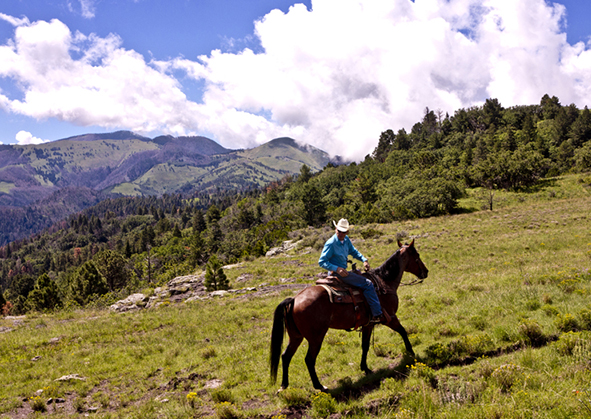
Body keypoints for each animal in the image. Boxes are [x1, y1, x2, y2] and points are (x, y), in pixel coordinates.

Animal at [270, 240, 428, 394]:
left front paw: (365, 368)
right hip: (316, 338)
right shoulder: (390, 318)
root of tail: (294, 299)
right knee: (309, 359)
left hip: (296, 336)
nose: (425, 272)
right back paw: (320, 386)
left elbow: (365, 346)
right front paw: (411, 353)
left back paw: (284, 385)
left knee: (285, 356)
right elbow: (403, 331)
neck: (384, 283)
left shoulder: (368, 324)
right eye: (417, 255)